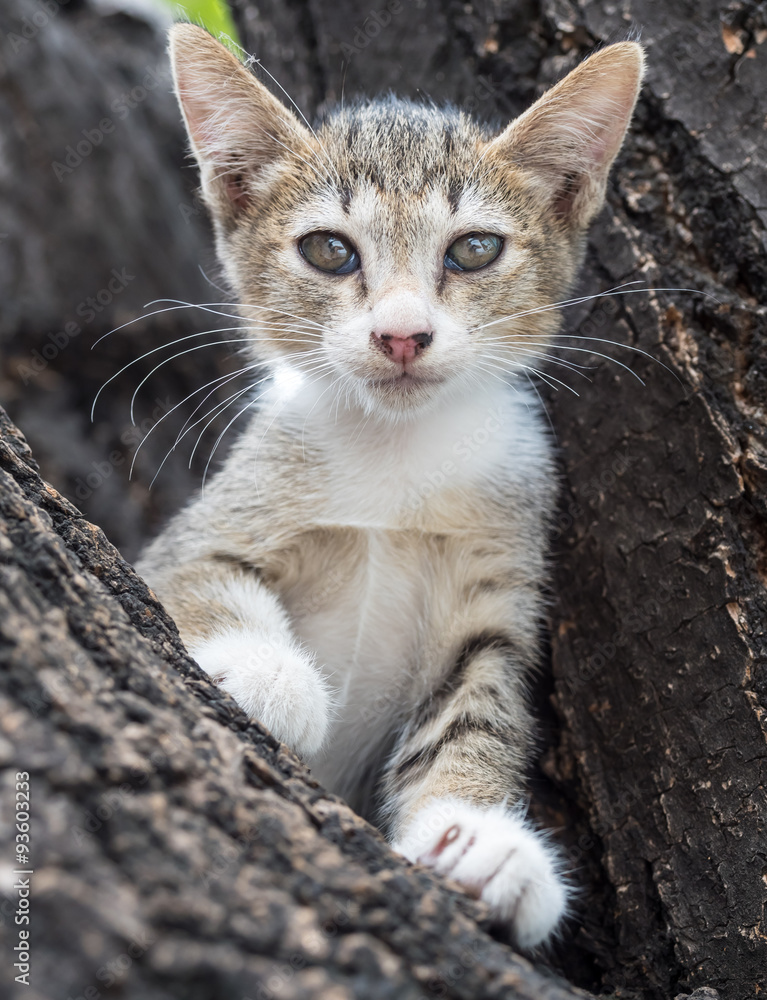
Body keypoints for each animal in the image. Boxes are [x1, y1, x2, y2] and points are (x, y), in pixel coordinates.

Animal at [138, 23, 644, 949]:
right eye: (328, 250)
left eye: (474, 248)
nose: (401, 334)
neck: (393, 464)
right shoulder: (205, 527)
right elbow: (196, 579)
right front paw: (268, 674)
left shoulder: (494, 594)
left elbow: (478, 712)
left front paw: (478, 835)